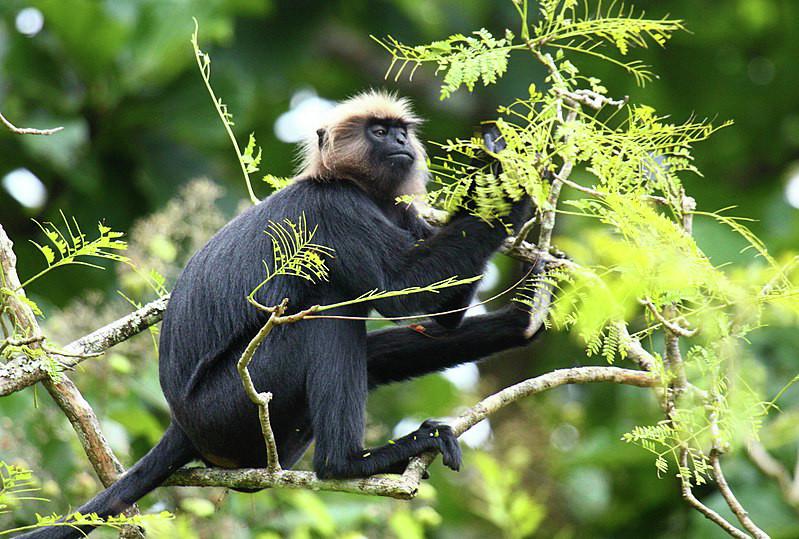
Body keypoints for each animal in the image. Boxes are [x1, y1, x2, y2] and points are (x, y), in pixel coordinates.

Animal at [18, 90, 544, 536]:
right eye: (378, 131)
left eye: (400, 131)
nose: (399, 141)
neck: (353, 186)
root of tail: (182, 423)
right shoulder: (333, 209)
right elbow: (408, 293)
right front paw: (505, 171)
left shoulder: (401, 214)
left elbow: (440, 317)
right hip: (229, 406)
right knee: (322, 315)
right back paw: (349, 463)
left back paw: (519, 324)